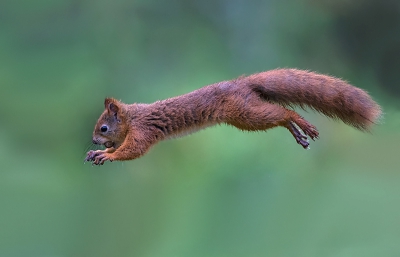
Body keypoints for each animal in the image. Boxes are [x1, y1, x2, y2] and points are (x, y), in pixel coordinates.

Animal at [84, 68, 382, 164]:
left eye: (103, 128)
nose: (95, 140)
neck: (132, 118)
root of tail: (242, 84)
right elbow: (123, 148)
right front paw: (97, 153)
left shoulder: (144, 130)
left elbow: (133, 149)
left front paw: (107, 155)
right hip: (246, 116)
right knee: (280, 117)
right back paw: (298, 134)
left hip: (246, 114)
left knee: (284, 112)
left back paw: (302, 125)